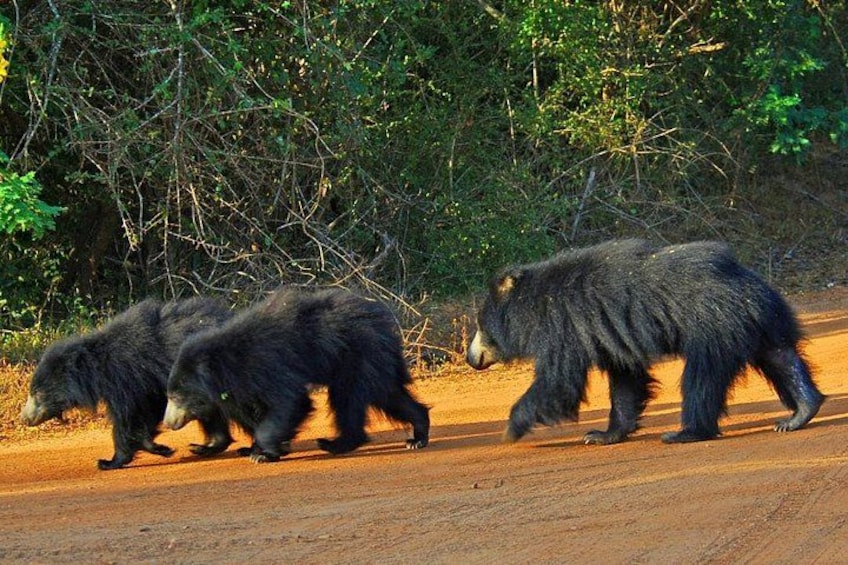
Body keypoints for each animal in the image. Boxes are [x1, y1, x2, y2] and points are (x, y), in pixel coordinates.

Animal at [21, 297, 234, 470]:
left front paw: (109, 462)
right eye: (32, 392)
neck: (98, 367)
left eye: (37, 394)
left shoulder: (127, 378)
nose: (24, 418)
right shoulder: (147, 385)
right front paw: (158, 447)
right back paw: (206, 447)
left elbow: (128, 416)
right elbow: (148, 411)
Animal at [163, 286, 430, 463]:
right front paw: (254, 449)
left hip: (358, 356)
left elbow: (291, 403)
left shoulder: (269, 366)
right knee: (389, 395)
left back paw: (335, 443)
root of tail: (383, 322)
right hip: (371, 360)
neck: (226, 365)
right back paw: (417, 436)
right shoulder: (243, 386)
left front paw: (265, 453)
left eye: (176, 397)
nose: (168, 423)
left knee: (348, 399)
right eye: (169, 396)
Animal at [466, 239, 824, 445]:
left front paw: (510, 429)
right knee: (781, 356)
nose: (471, 358)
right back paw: (799, 413)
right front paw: (601, 435)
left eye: (481, 327)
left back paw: (685, 433)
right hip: (760, 320)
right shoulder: (607, 335)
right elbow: (626, 380)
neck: (532, 303)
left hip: (713, 326)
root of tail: (745, 281)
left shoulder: (562, 328)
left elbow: (558, 382)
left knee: (702, 378)